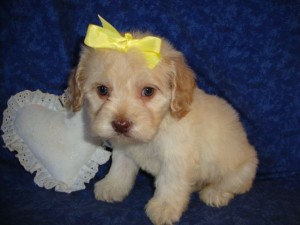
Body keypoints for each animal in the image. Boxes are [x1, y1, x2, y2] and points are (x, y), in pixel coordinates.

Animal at [68, 33, 258, 225]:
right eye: (102, 90)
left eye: (148, 91)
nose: (121, 124)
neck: (155, 130)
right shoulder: (123, 149)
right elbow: (120, 167)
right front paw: (112, 186)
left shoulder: (176, 158)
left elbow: (169, 183)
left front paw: (164, 207)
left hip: (240, 169)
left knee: (236, 184)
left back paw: (215, 193)